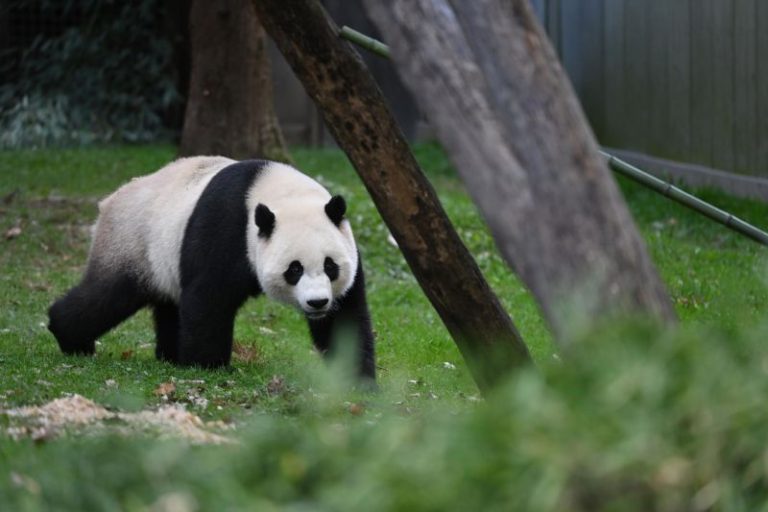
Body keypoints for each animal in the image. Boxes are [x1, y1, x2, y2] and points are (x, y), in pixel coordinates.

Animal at [47, 157, 376, 383]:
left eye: (330, 266)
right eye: (294, 269)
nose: (318, 302)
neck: (281, 194)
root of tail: (109, 200)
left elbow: (344, 318)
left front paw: (357, 379)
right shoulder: (228, 227)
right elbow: (209, 297)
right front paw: (209, 366)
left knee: (170, 307)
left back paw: (170, 355)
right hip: (132, 242)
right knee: (109, 294)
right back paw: (70, 337)